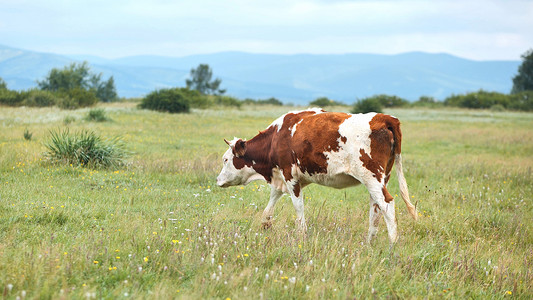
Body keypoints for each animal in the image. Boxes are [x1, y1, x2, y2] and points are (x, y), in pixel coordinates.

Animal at [215, 108, 416, 244]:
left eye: (225, 159)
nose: (217, 180)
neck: (277, 136)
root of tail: (385, 118)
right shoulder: (282, 178)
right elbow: (270, 205)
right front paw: (265, 225)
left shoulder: (289, 175)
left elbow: (298, 207)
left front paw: (301, 235)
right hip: (381, 178)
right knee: (375, 208)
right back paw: (369, 242)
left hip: (371, 176)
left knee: (387, 204)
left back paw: (392, 244)